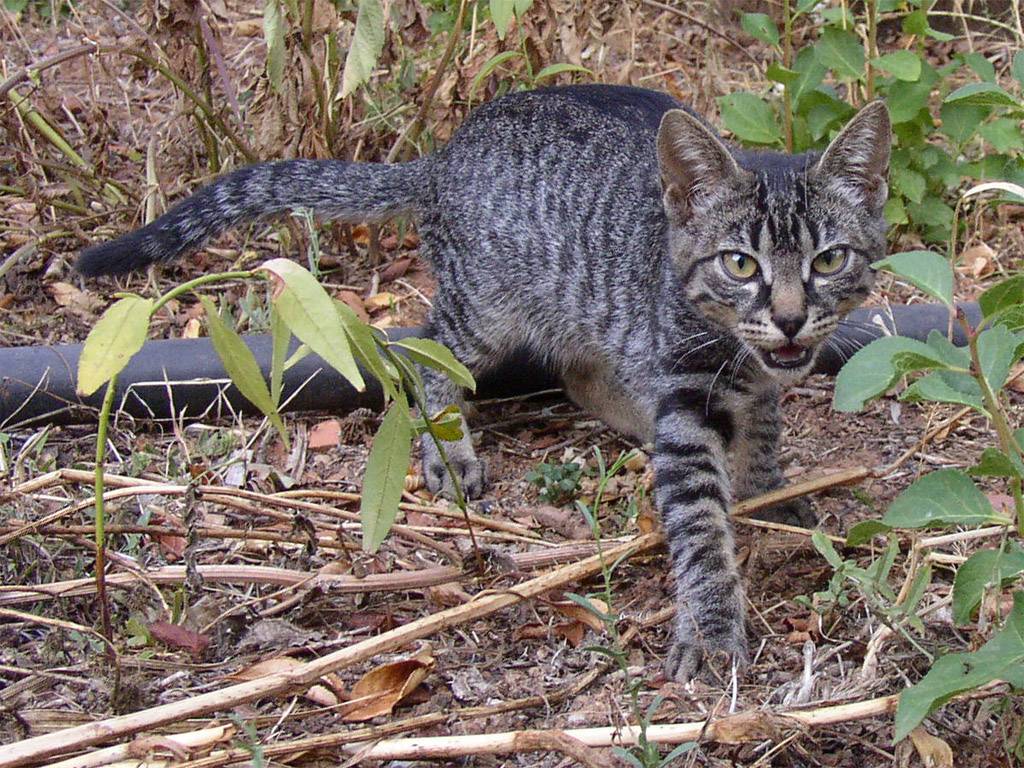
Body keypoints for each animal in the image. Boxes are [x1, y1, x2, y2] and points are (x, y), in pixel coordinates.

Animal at [77, 87, 888, 684]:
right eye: (740, 265)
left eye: (830, 259)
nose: (789, 317)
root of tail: (442, 156)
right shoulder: (691, 401)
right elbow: (699, 528)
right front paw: (715, 628)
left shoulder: (759, 380)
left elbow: (763, 432)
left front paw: (768, 490)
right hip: (482, 307)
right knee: (420, 353)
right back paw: (451, 451)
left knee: (580, 370)